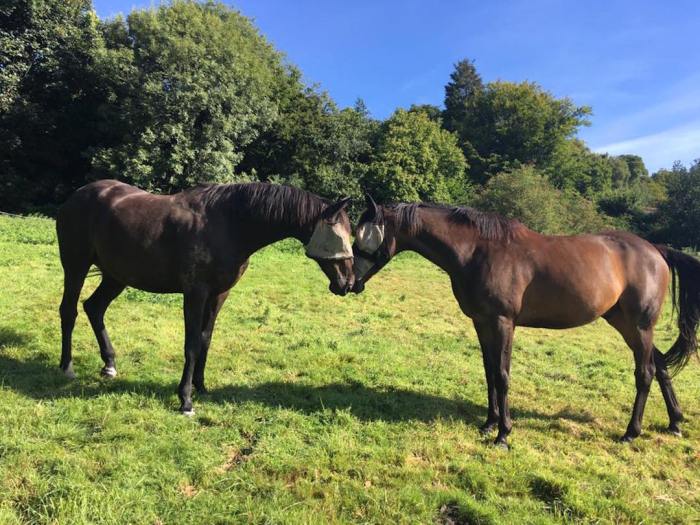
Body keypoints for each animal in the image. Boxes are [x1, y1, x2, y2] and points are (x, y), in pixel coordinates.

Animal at [56, 180, 355, 415]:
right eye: (339, 236)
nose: (348, 283)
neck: (229, 225)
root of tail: (78, 195)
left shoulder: (219, 295)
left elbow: (205, 340)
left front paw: (200, 386)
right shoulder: (195, 294)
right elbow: (190, 345)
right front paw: (185, 400)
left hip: (116, 276)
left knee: (94, 308)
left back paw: (109, 365)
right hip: (76, 266)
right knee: (69, 311)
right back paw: (67, 367)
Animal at [351, 195, 700, 448]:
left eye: (364, 239)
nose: (348, 282)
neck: (478, 251)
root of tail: (655, 250)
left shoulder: (503, 323)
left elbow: (503, 375)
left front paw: (503, 435)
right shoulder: (482, 323)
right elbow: (489, 372)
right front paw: (489, 423)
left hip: (639, 326)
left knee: (645, 373)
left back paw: (631, 432)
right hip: (626, 324)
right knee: (661, 367)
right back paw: (675, 423)